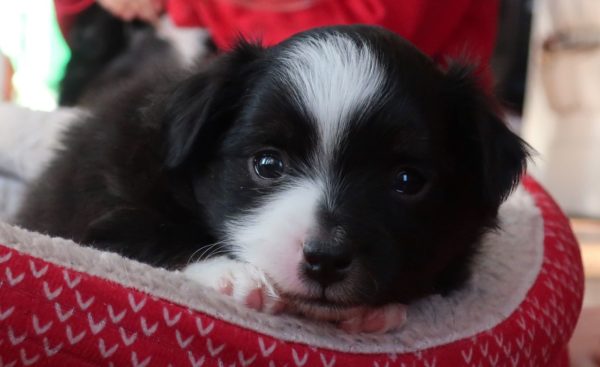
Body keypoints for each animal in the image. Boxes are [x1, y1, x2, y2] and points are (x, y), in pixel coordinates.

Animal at [16, 25, 528, 334]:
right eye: (267, 164)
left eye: (407, 180)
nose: (326, 259)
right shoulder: (104, 206)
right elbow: (144, 238)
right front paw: (231, 275)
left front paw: (379, 310)